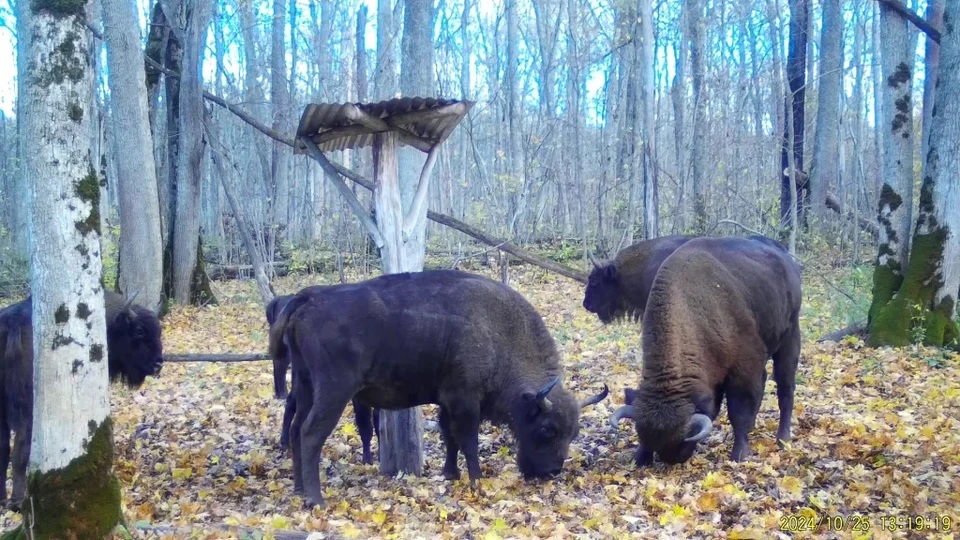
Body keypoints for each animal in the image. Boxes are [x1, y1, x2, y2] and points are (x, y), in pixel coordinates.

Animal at [0, 292, 164, 506]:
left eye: (158, 331)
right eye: (138, 331)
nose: (158, 364)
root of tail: (11, 324)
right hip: (27, 409)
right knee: (19, 449)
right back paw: (17, 502)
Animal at [608, 236, 804, 464]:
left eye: (686, 435)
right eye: (644, 435)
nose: (672, 459)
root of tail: (785, 260)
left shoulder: (744, 369)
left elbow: (739, 411)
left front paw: (739, 454)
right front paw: (640, 457)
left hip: (789, 339)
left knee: (785, 389)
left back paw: (783, 440)